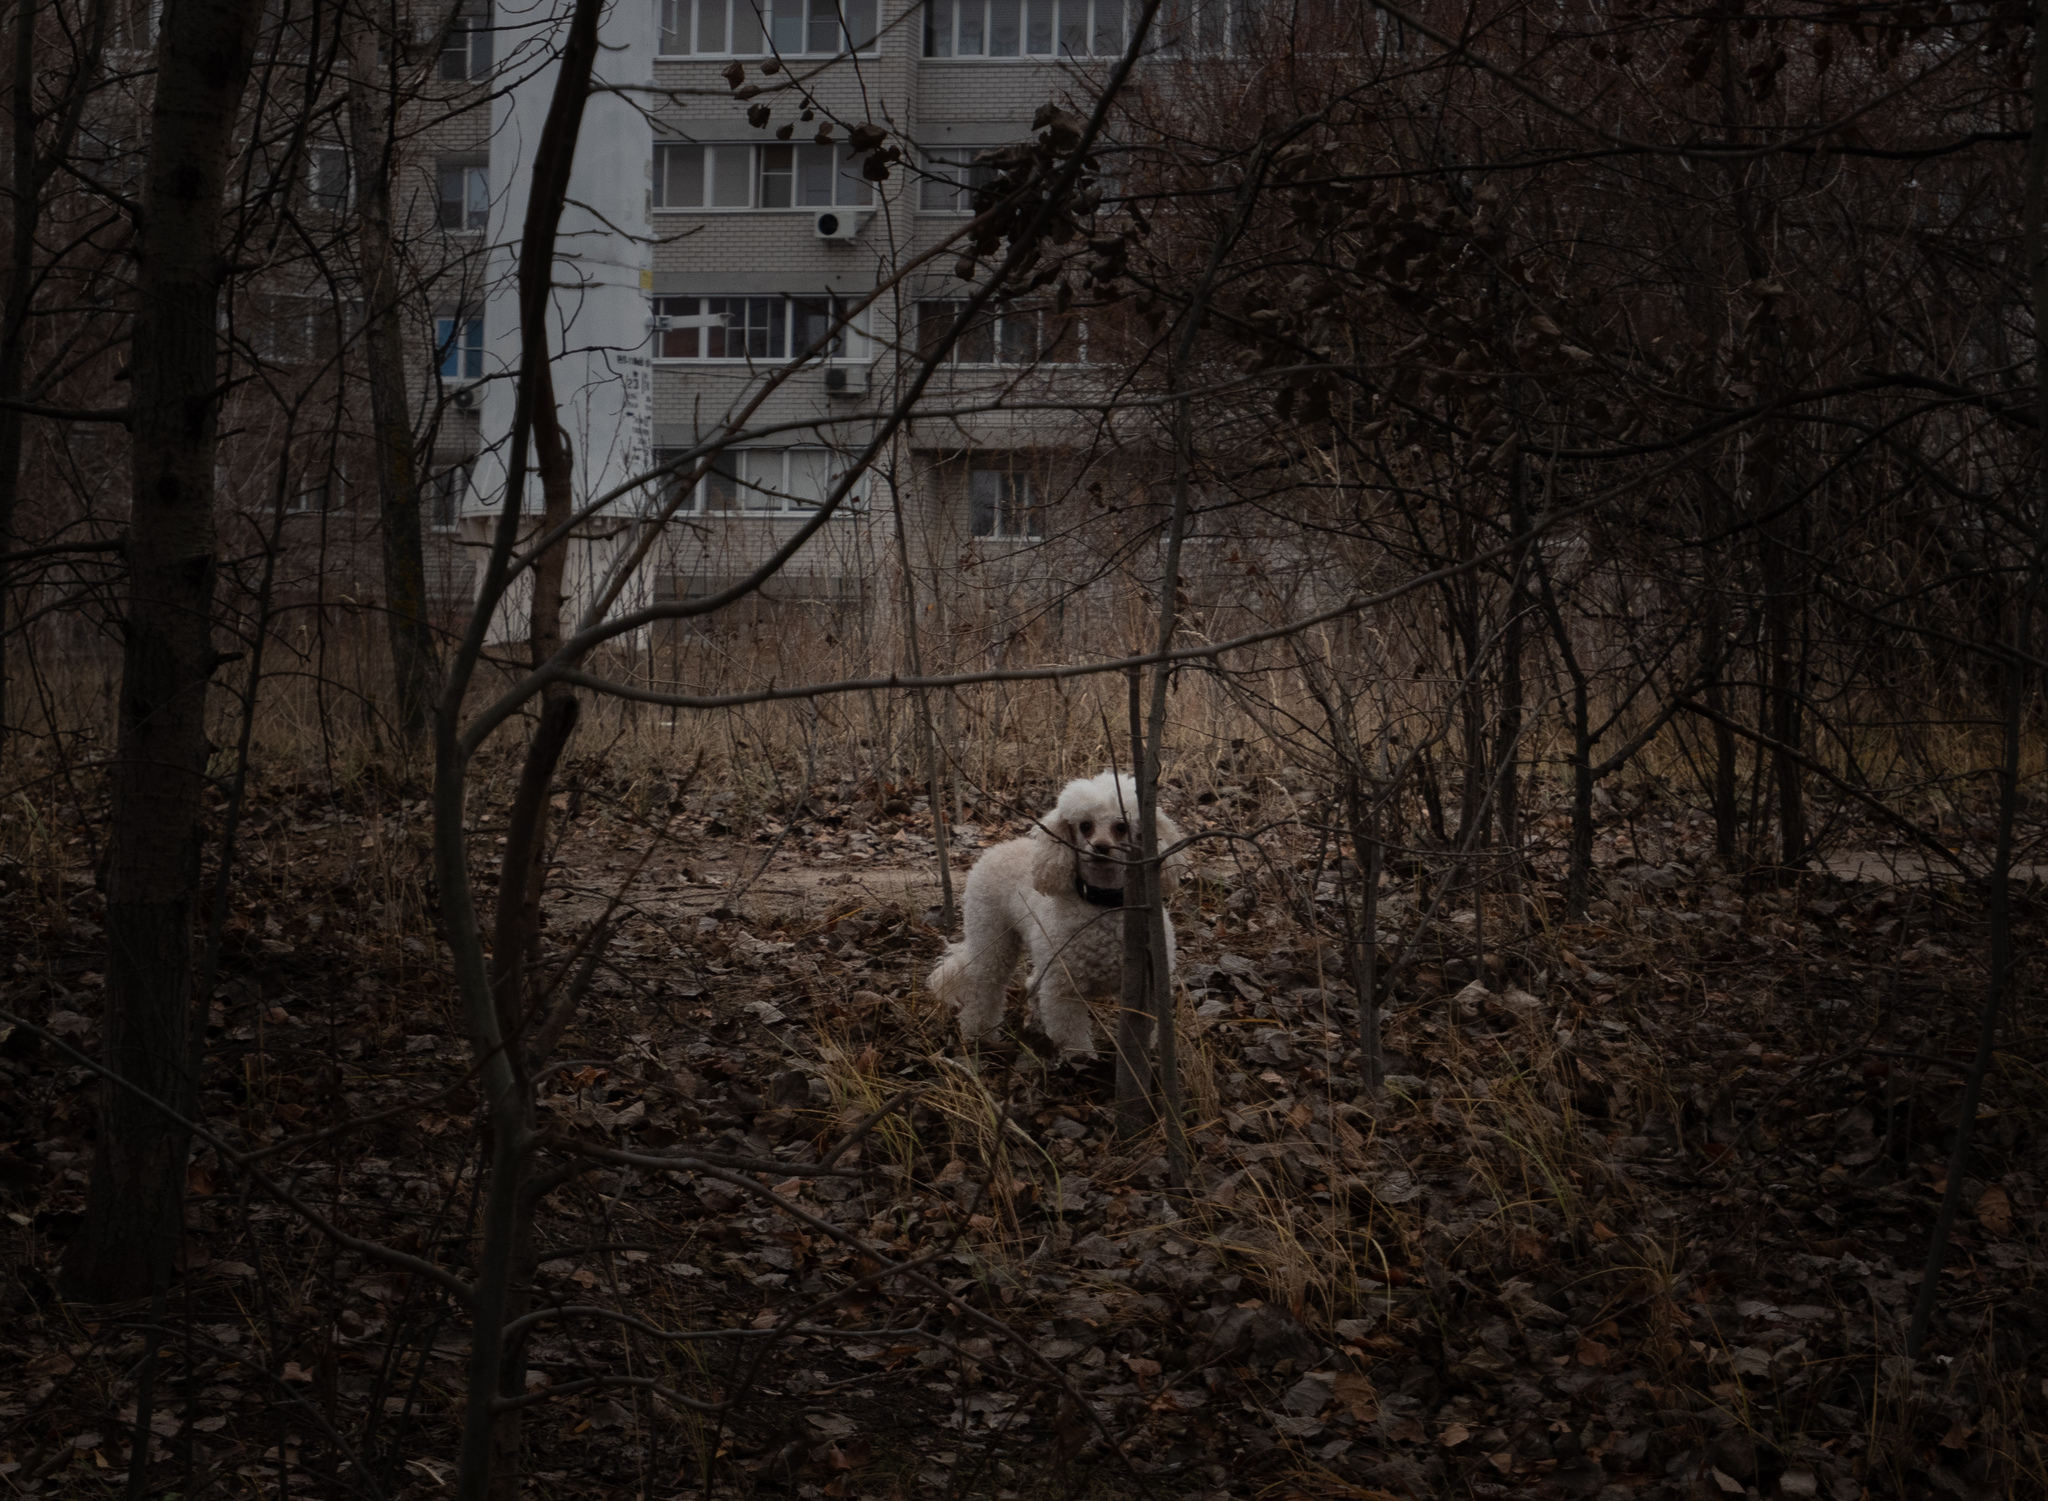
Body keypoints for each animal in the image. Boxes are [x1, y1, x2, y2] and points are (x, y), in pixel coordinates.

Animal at [925, 774, 1196, 1056]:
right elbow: (1073, 1035)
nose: (1100, 848)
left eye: (1121, 826)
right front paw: (1083, 1060)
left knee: (1031, 983)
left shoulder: (1148, 985)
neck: (1104, 904)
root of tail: (996, 847)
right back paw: (978, 1034)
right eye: (1085, 825)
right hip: (990, 936)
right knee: (984, 987)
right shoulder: (1064, 988)